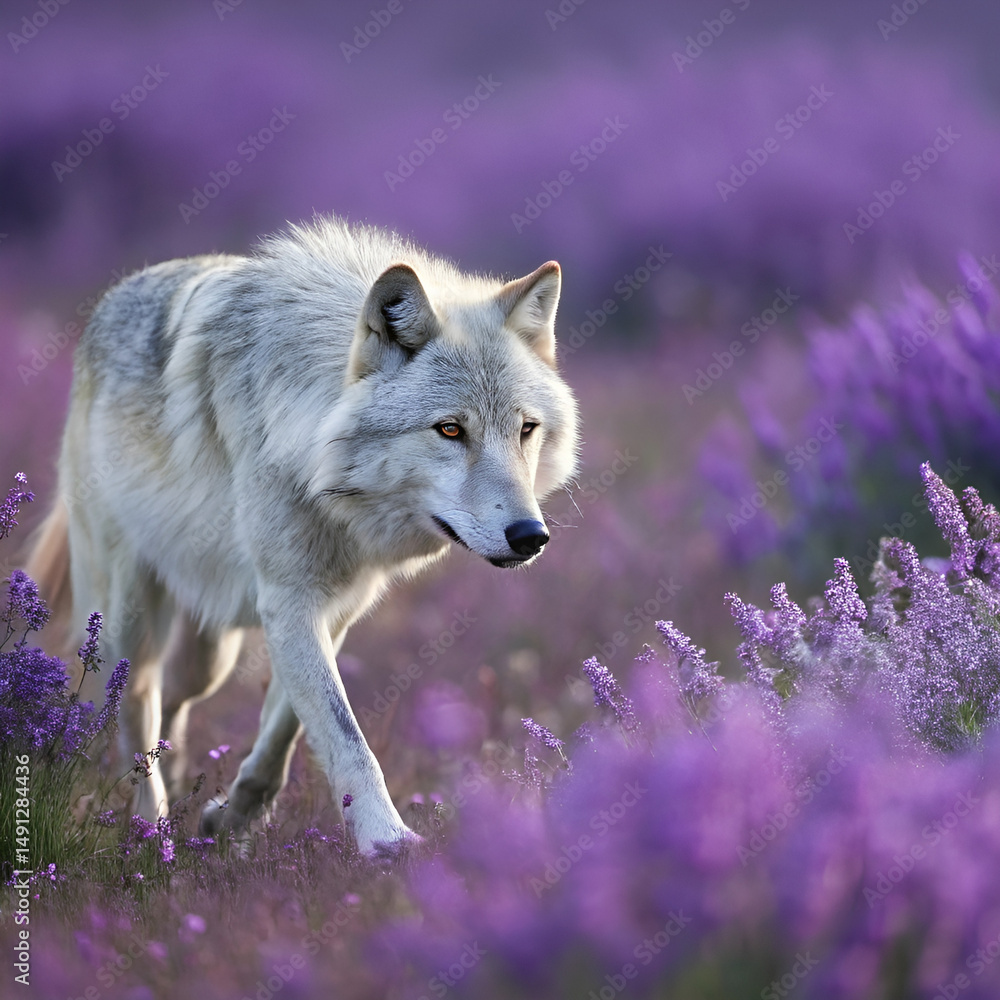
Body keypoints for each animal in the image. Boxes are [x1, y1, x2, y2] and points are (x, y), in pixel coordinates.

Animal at [27, 217, 579, 855]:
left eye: (526, 429)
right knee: (132, 706)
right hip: (127, 621)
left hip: (209, 654)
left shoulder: (333, 609)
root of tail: (109, 300)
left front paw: (236, 813)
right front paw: (387, 842)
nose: (530, 535)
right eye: (449, 430)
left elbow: (287, 728)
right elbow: (348, 739)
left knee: (172, 699)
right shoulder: (290, 601)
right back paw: (152, 828)